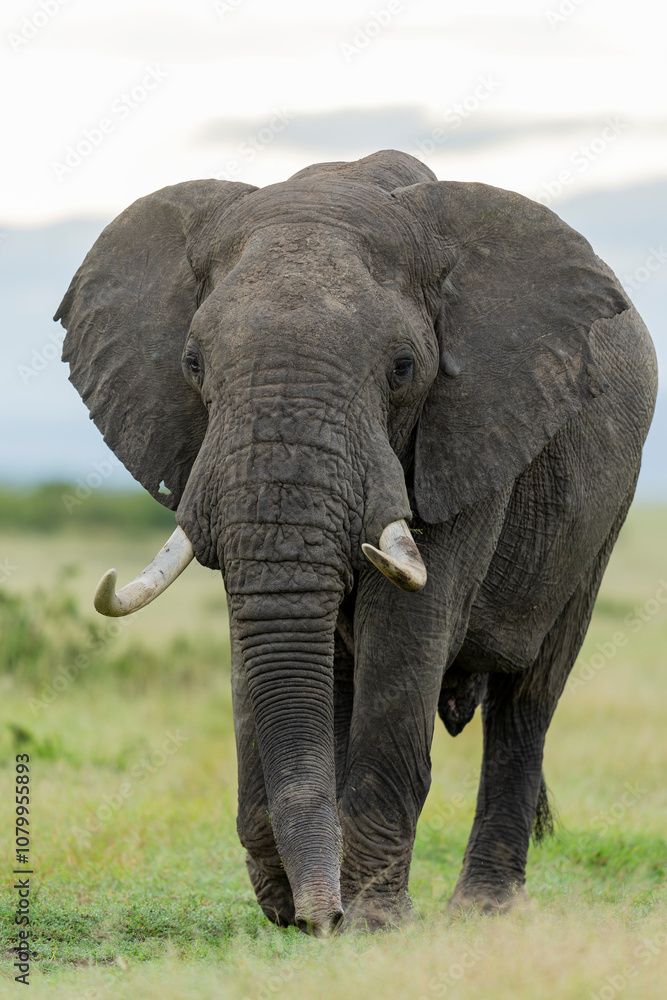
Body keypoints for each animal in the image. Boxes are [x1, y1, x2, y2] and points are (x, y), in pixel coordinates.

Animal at [55, 149, 657, 936]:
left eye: (403, 368)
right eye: (191, 365)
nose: (317, 916)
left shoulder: (469, 429)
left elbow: (405, 635)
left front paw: (371, 924)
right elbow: (257, 639)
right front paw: (298, 908)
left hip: (606, 506)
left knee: (529, 695)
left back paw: (484, 910)